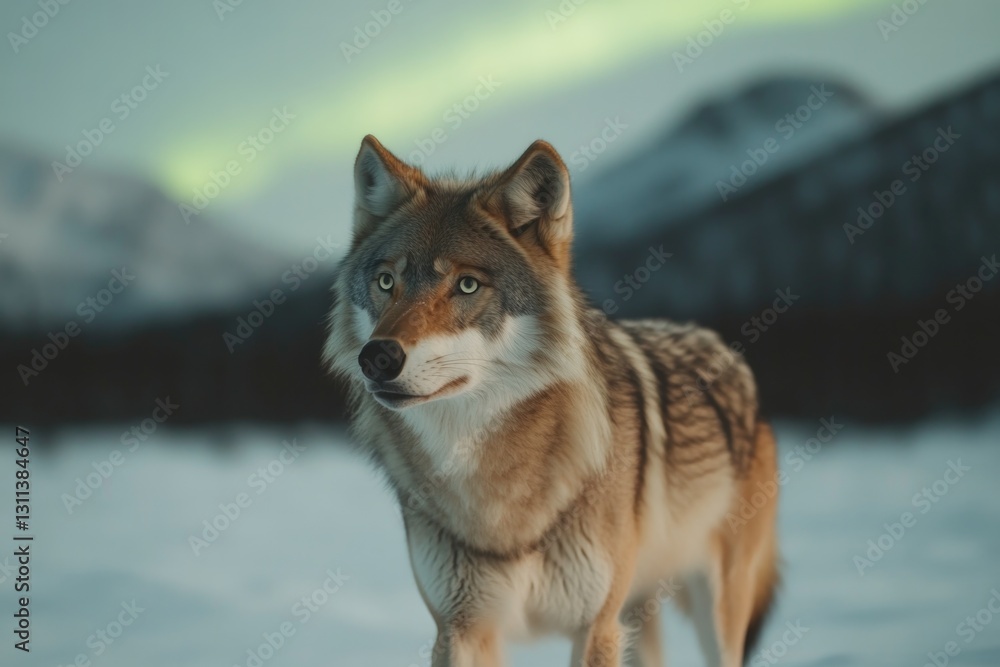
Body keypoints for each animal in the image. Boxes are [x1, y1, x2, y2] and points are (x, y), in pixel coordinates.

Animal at [323, 135, 780, 667]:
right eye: (386, 282)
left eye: (467, 285)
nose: (377, 357)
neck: (496, 494)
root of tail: (725, 352)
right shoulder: (462, 628)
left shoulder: (596, 626)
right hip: (637, 613)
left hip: (712, 610)